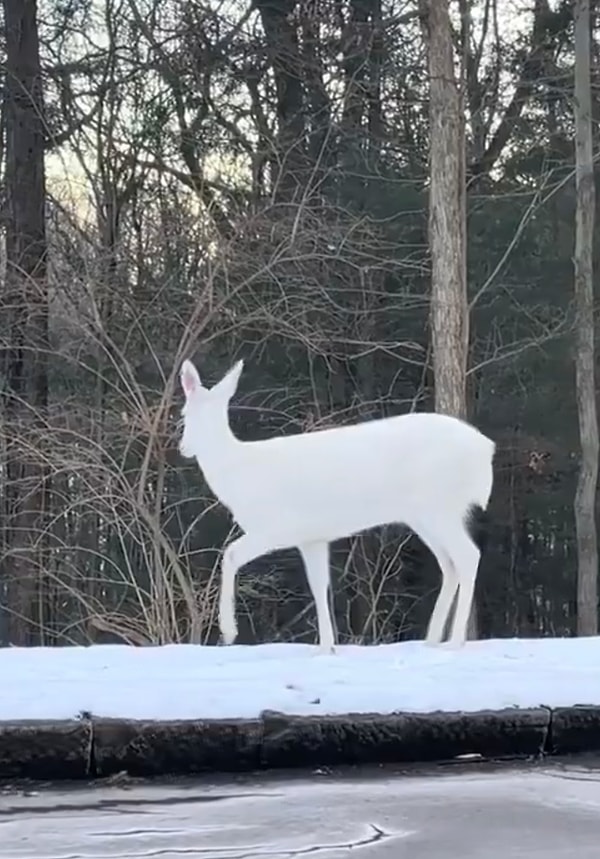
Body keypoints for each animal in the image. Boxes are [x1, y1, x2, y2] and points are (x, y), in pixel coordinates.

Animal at [179, 362, 496, 652]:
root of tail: (485, 450)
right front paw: (327, 647)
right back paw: (431, 639)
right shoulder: (312, 537)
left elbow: (230, 554)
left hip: (438, 506)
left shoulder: (277, 526)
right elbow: (319, 585)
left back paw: (454, 641)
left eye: (184, 414)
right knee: (449, 563)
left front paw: (228, 631)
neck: (238, 472)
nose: (183, 448)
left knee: (468, 555)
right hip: (425, 514)